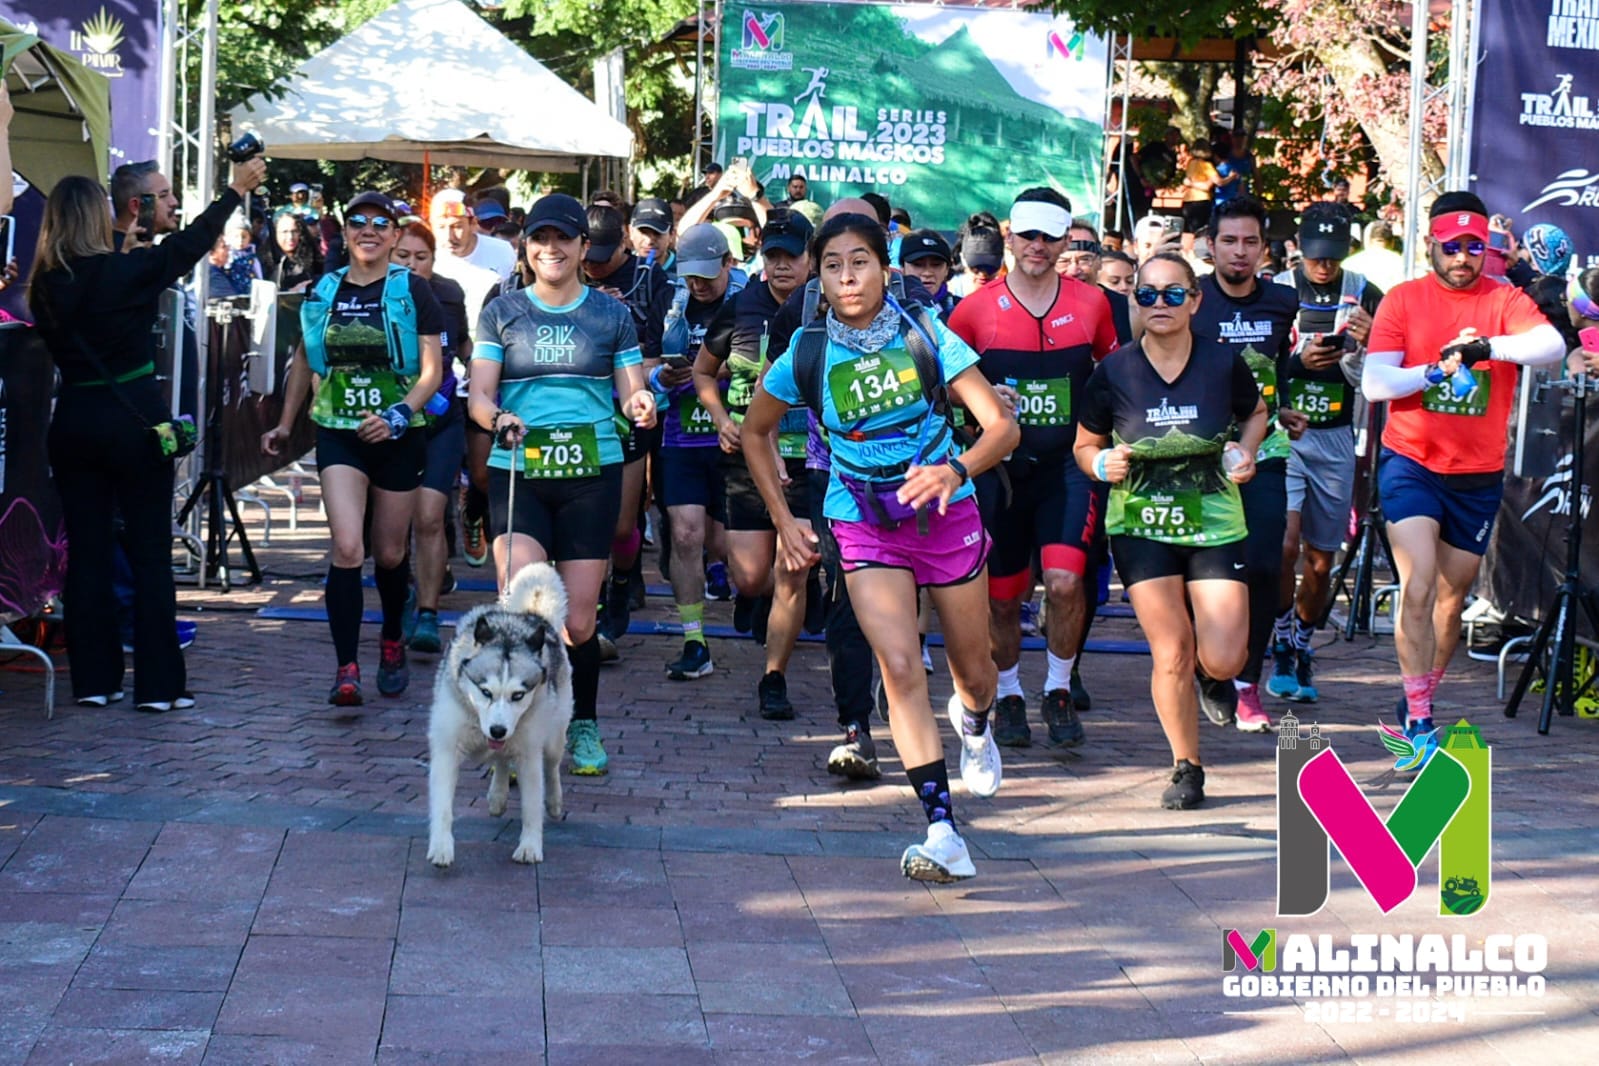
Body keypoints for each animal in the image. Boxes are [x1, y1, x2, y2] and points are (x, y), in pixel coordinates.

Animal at [428, 559, 572, 869]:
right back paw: (497, 795)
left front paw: (530, 846)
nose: (497, 730)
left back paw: (554, 800)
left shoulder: (529, 754)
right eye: (485, 691)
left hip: (554, 733)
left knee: (551, 765)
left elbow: (532, 807)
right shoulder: (446, 750)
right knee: (503, 760)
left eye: (518, 695)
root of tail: (533, 615)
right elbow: (443, 806)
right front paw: (441, 846)